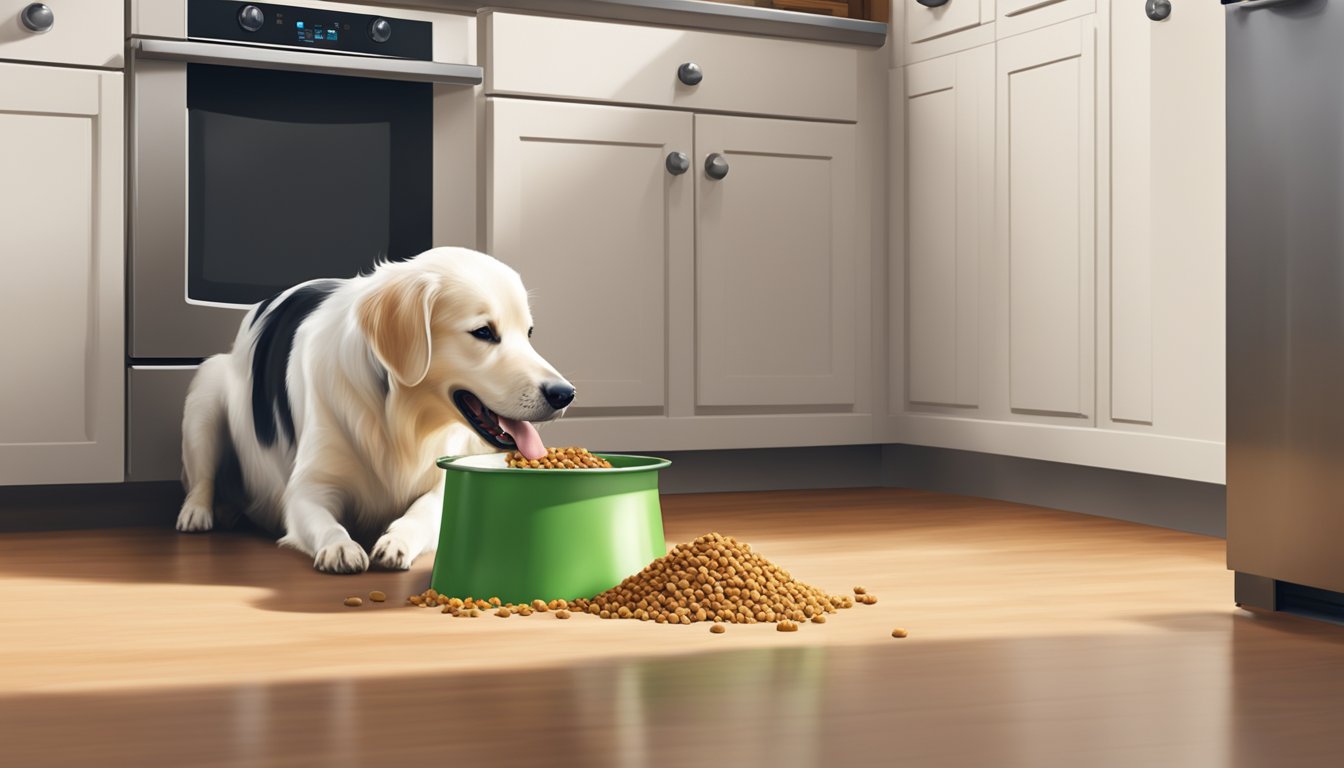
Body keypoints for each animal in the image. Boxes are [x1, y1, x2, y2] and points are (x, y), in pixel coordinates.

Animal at [170, 248, 569, 572]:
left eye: (529, 333)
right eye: (484, 332)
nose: (565, 394)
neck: (398, 416)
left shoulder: (443, 480)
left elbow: (421, 512)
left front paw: (397, 541)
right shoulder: (306, 491)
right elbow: (324, 521)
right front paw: (340, 547)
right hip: (206, 389)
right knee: (201, 478)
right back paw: (198, 513)